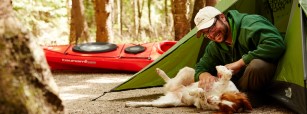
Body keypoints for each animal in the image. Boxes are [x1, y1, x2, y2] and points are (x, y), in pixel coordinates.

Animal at [125, 65, 253, 112]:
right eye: (223, 96)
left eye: (221, 106)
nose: (210, 100)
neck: (219, 92)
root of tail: (173, 90)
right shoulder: (224, 82)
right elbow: (227, 74)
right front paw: (220, 67)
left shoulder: (202, 104)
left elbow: (201, 94)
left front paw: (192, 93)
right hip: (187, 71)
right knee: (169, 80)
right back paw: (160, 71)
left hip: (166, 103)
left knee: (150, 103)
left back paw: (130, 103)